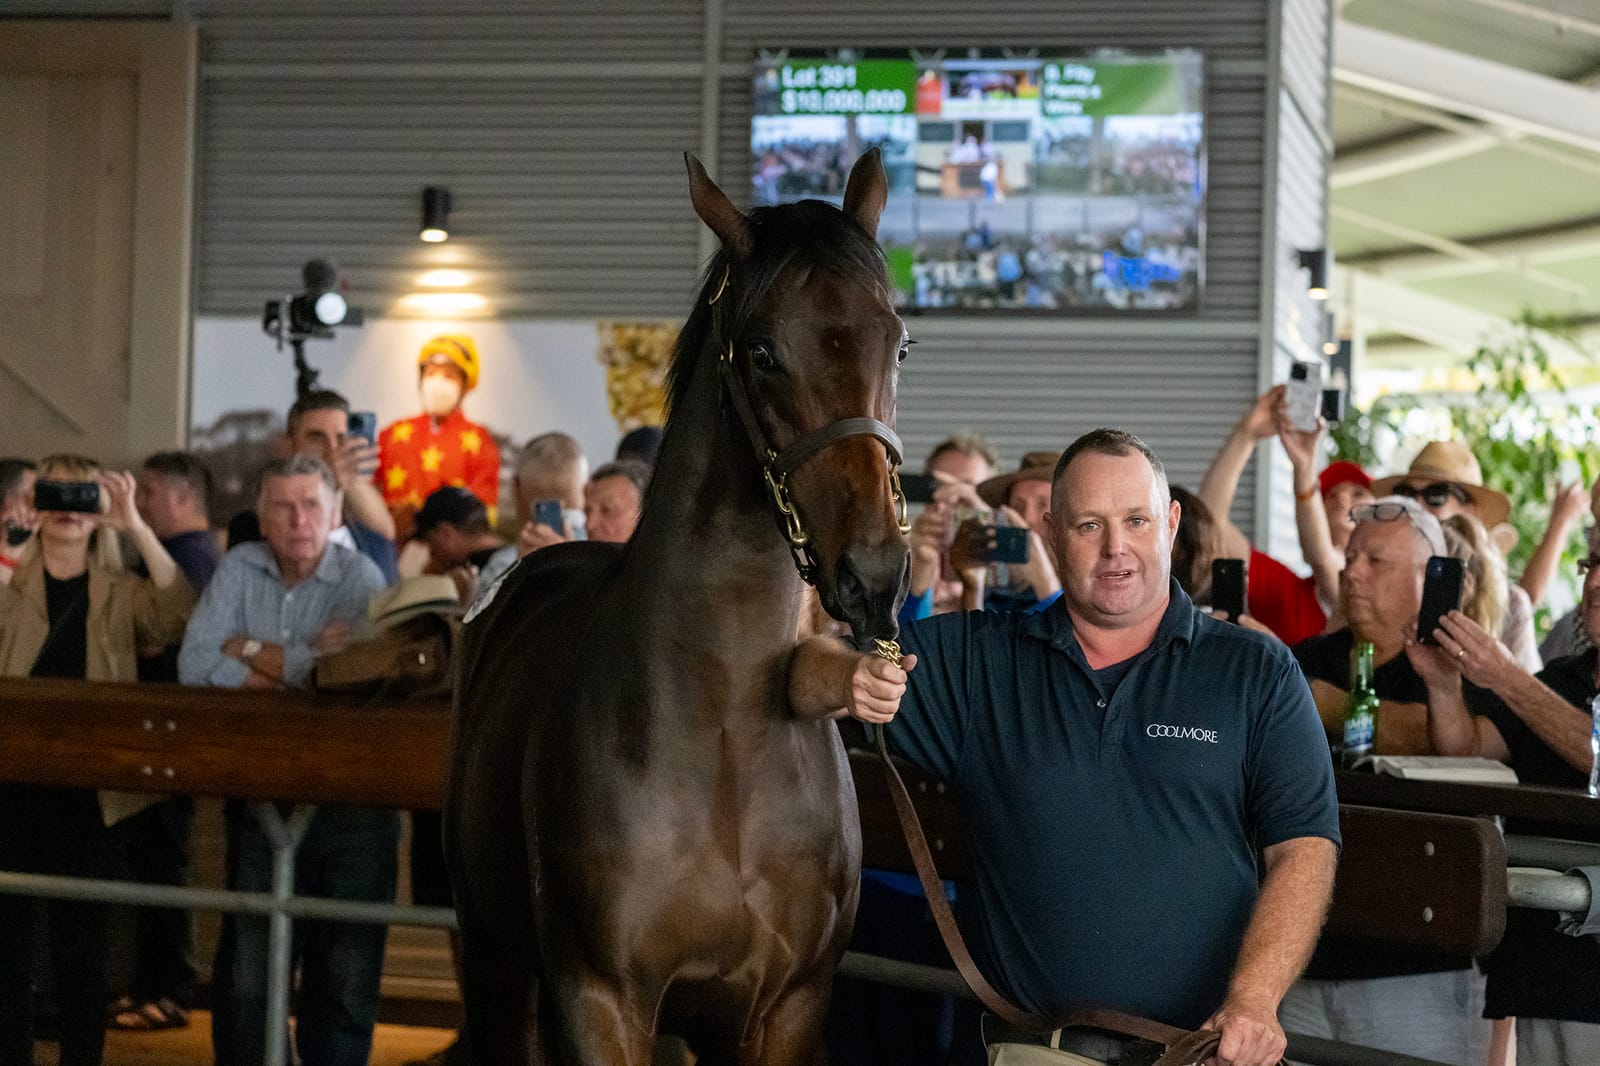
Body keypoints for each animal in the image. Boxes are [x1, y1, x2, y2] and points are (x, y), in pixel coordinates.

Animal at [448, 151, 915, 1062]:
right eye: (763, 350)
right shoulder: (601, 1001)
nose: (873, 576)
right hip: (495, 968)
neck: (723, 729)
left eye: (900, 340)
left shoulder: (787, 1009)